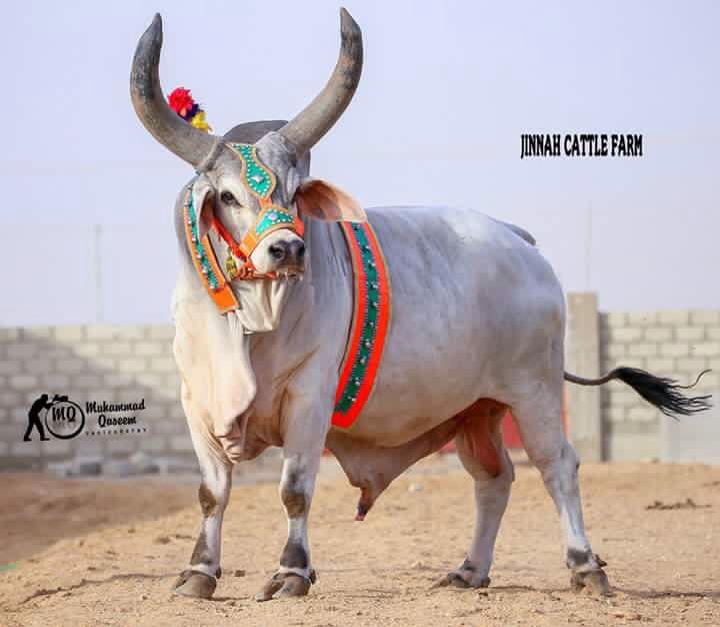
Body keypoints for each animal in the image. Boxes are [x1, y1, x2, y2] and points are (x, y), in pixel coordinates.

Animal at [129, 9, 711, 602]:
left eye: (294, 192)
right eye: (227, 196)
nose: (287, 249)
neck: (252, 327)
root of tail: (519, 239)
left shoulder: (309, 398)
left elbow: (295, 489)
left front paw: (291, 572)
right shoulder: (197, 401)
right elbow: (211, 492)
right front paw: (199, 572)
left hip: (535, 388)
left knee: (558, 465)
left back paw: (585, 565)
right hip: (478, 408)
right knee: (494, 477)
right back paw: (470, 569)